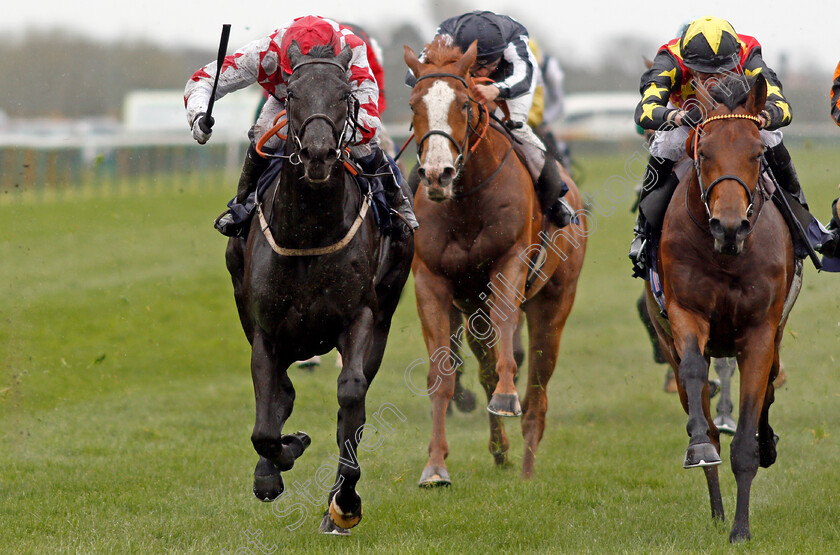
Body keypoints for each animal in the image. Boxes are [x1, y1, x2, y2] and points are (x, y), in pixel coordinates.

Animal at [223, 42, 414, 536]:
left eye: (345, 93)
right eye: (291, 93)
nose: (319, 154)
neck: (309, 232)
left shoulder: (360, 316)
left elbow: (351, 397)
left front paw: (344, 502)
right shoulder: (266, 330)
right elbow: (266, 425)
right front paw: (277, 464)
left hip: (383, 317)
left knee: (354, 400)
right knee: (280, 395)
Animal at [404, 39, 588, 488]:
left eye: (465, 104)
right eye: (415, 104)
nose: (436, 174)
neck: (467, 200)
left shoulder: (511, 261)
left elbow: (508, 326)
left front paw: (507, 396)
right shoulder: (431, 281)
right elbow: (442, 374)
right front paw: (435, 465)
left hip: (553, 303)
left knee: (537, 389)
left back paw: (526, 466)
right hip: (472, 310)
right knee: (485, 366)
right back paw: (501, 450)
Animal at [648, 74, 800, 544]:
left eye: (757, 153)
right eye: (705, 151)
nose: (729, 227)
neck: (727, 256)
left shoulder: (759, 332)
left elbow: (748, 433)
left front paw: (741, 529)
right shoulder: (685, 313)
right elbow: (696, 373)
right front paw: (699, 450)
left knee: (769, 388)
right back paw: (715, 507)